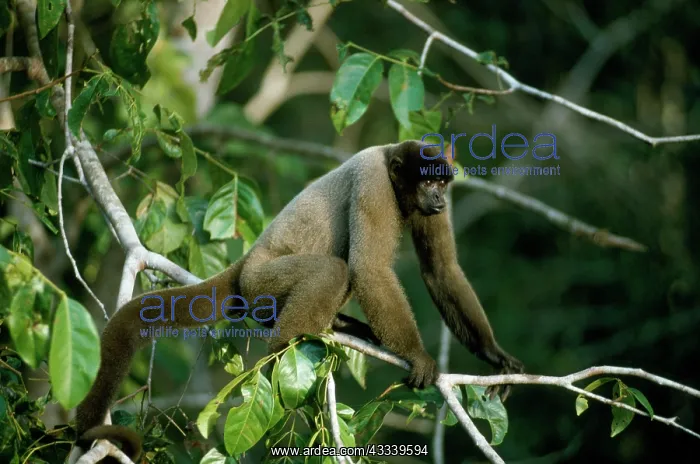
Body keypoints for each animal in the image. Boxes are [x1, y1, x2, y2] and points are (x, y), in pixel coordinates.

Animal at [73, 140, 524, 462]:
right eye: (427, 182)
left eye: (442, 184)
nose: (440, 199)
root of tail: (245, 263)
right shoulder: (374, 184)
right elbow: (369, 270)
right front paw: (417, 355)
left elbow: (441, 269)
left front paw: (495, 355)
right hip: (263, 281)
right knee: (334, 270)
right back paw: (282, 348)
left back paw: (334, 326)